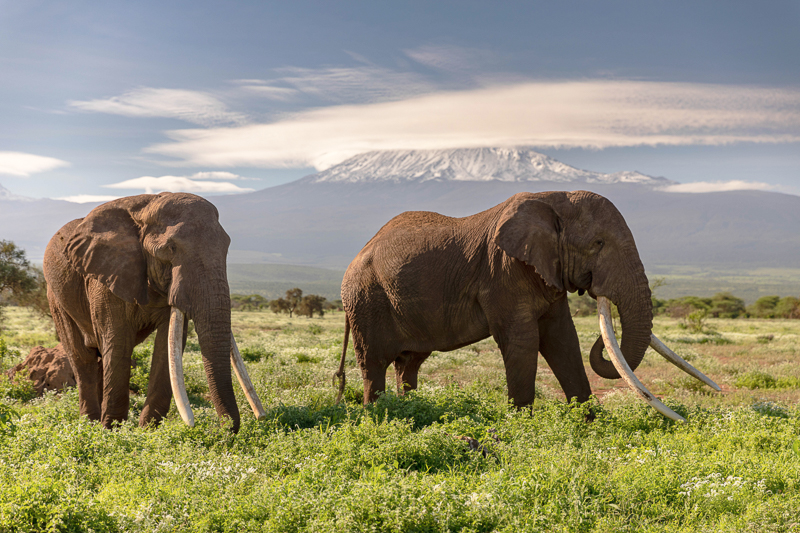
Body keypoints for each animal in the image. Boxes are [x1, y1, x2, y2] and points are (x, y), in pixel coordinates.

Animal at [43, 193, 266, 430]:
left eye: (226, 247)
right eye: (171, 248)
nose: (226, 429)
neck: (146, 206)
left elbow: (165, 347)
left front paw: (148, 429)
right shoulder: (104, 277)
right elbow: (118, 341)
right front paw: (114, 430)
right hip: (55, 297)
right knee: (82, 357)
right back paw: (90, 424)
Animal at [332, 191, 720, 420]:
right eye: (597, 243)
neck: (554, 201)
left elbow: (562, 340)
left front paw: (588, 424)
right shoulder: (503, 269)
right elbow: (523, 341)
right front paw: (523, 427)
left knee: (409, 364)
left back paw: (410, 409)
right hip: (365, 300)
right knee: (374, 363)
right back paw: (379, 417)